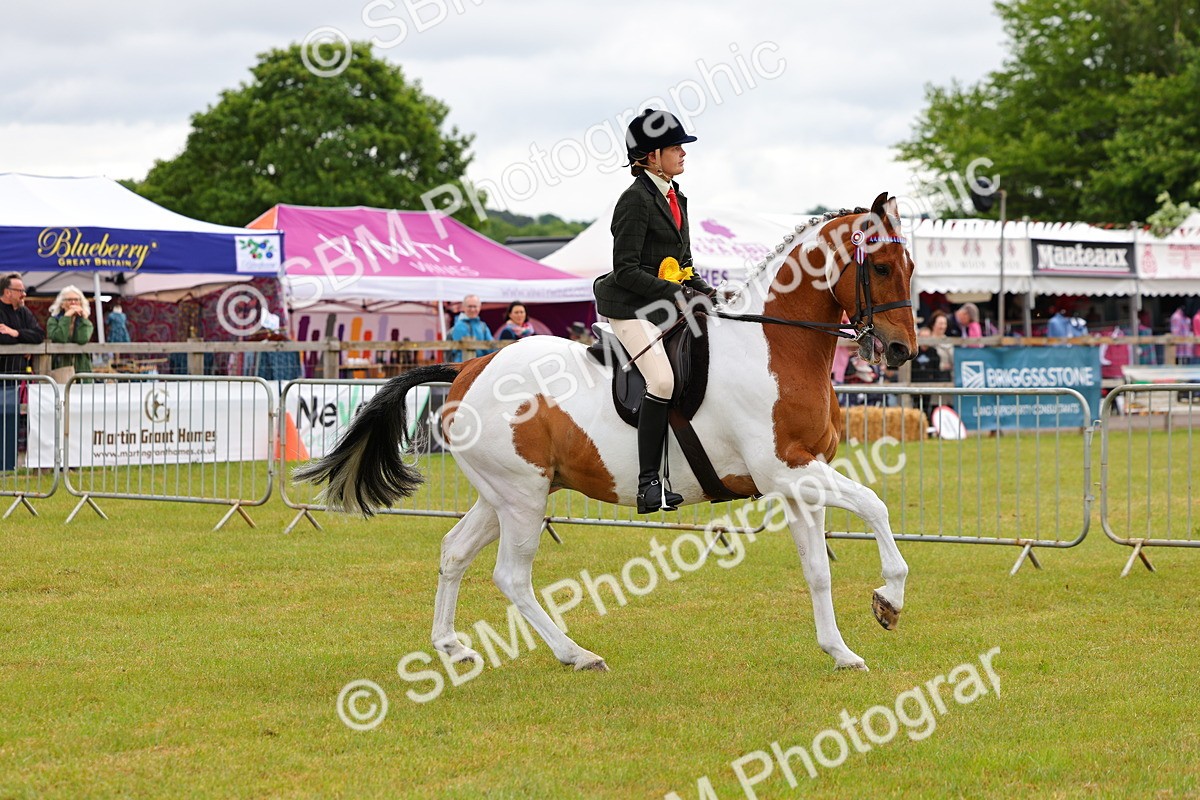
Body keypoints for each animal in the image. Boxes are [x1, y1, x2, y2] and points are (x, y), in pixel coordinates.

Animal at [297, 191, 917, 672]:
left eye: (910, 267)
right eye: (882, 267)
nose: (902, 351)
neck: (773, 344)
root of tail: (468, 369)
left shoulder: (798, 480)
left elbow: (817, 569)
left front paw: (840, 652)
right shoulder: (787, 470)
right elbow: (876, 506)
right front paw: (888, 600)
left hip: (503, 494)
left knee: (453, 553)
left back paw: (451, 647)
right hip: (522, 498)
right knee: (511, 577)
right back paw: (575, 654)